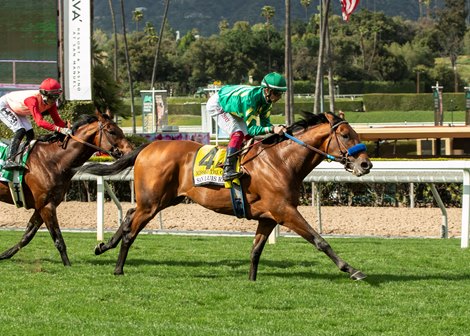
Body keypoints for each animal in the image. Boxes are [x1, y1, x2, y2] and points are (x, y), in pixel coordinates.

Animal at [0, 111, 134, 266]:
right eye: (112, 131)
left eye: (121, 130)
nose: (131, 152)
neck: (53, 161)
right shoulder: (47, 206)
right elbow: (58, 239)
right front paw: (68, 265)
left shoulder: (42, 205)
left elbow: (27, 235)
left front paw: (4, 254)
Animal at [81, 111, 374, 280]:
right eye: (345, 135)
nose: (366, 164)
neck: (281, 161)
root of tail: (147, 147)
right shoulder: (284, 211)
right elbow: (319, 240)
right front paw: (352, 270)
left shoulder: (268, 216)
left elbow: (255, 250)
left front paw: (252, 280)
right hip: (152, 202)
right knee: (132, 230)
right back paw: (118, 268)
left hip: (162, 199)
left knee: (130, 214)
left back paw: (103, 246)